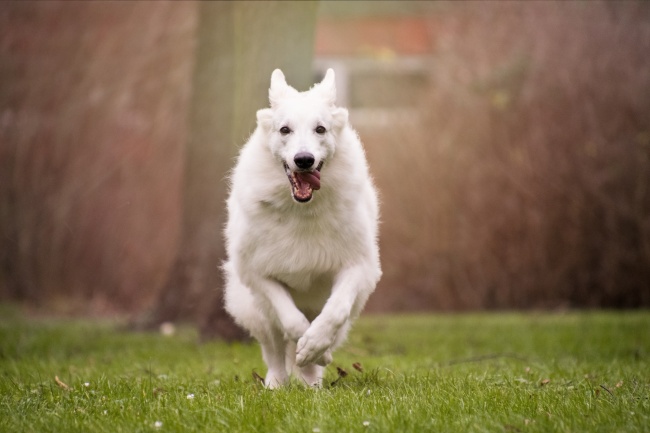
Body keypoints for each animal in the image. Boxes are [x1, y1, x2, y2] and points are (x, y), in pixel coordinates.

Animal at [223, 68, 380, 388]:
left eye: (320, 129)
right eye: (285, 130)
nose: (304, 160)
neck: (302, 210)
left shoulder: (357, 267)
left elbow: (334, 313)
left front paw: (317, 348)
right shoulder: (258, 274)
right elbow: (293, 322)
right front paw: (312, 348)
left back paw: (312, 384)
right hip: (255, 309)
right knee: (274, 349)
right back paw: (276, 384)